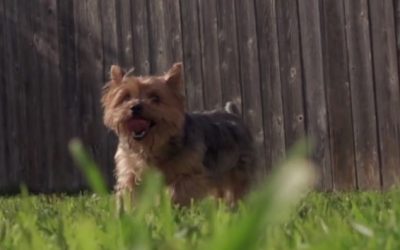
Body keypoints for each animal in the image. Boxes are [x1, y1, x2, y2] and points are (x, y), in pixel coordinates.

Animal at [101, 62, 255, 205]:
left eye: (155, 98)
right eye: (126, 97)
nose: (135, 106)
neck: (152, 147)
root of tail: (234, 115)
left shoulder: (188, 174)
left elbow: (179, 192)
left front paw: (175, 209)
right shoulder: (130, 171)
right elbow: (130, 191)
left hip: (238, 170)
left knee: (236, 189)